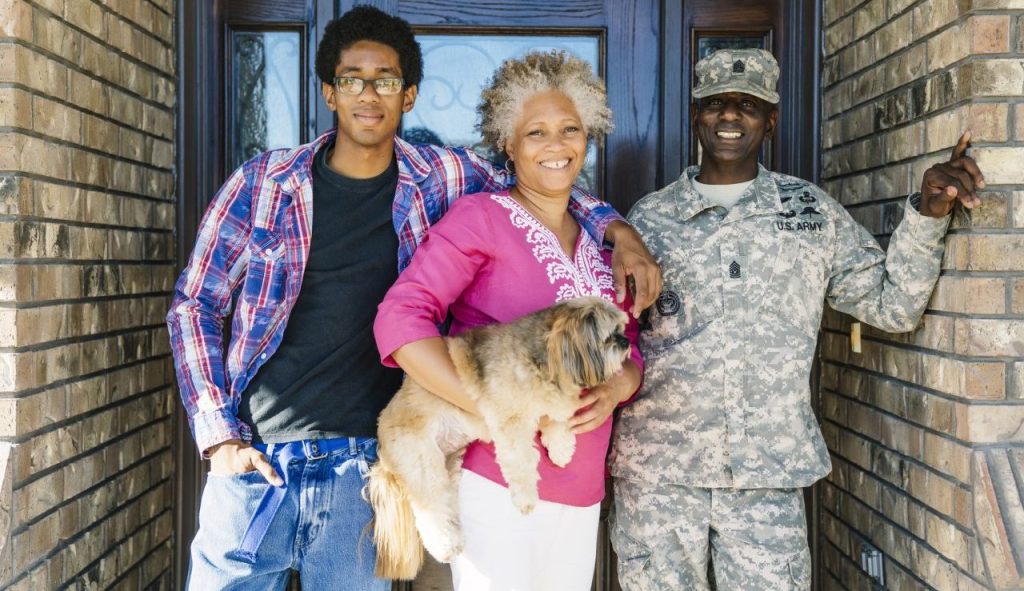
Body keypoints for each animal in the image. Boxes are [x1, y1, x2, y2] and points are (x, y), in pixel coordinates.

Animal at [364, 294, 626, 577]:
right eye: (610, 335)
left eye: (622, 329)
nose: (626, 343)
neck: (544, 360)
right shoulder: (510, 422)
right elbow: (522, 463)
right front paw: (525, 499)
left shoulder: (555, 405)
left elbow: (558, 422)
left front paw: (561, 451)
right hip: (421, 464)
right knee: (431, 510)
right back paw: (445, 545)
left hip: (449, 466)